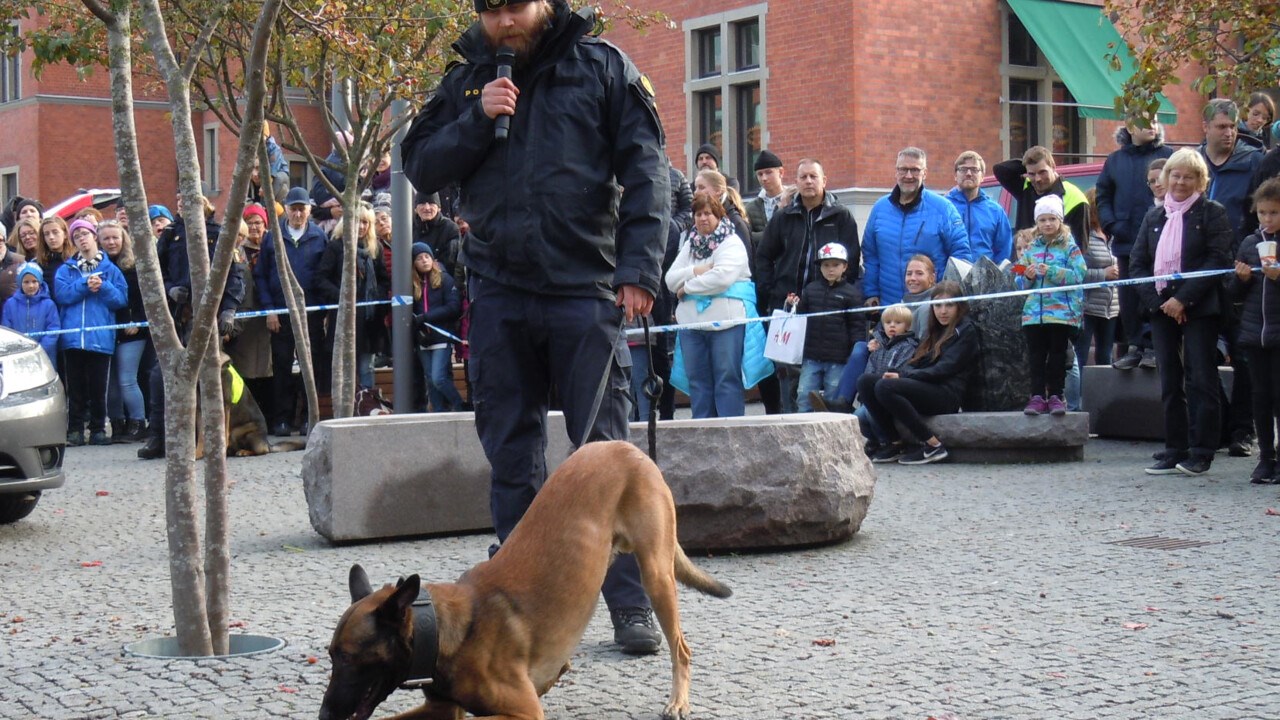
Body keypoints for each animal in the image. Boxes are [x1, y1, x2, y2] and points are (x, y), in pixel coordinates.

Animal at [322, 438, 732, 717]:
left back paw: (678, 700)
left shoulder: (522, 712)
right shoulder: (441, 708)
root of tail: (625, 446)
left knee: (681, 649)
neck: (444, 630)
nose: (325, 715)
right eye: (330, 655)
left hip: (656, 575)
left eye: (347, 658)